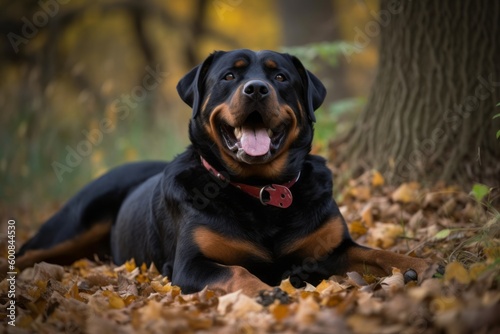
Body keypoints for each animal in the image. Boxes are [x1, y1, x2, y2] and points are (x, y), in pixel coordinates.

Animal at [17, 49, 436, 294]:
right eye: (229, 77)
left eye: (280, 77)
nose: (256, 89)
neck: (262, 189)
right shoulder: (189, 265)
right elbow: (237, 272)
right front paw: (267, 291)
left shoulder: (331, 248)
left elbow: (377, 251)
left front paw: (421, 265)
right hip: (75, 222)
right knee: (32, 250)